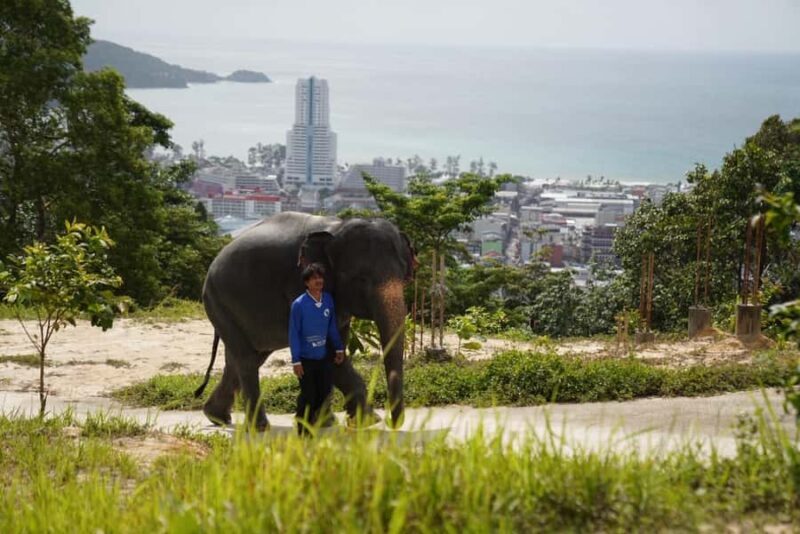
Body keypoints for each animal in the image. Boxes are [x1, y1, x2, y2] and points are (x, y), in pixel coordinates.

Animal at [194, 212, 416, 430]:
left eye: (403, 275)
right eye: (360, 279)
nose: (392, 423)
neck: (337, 228)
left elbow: (335, 348)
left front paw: (328, 424)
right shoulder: (298, 282)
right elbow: (328, 352)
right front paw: (366, 421)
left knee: (246, 358)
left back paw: (217, 417)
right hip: (219, 303)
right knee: (246, 359)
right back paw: (259, 428)